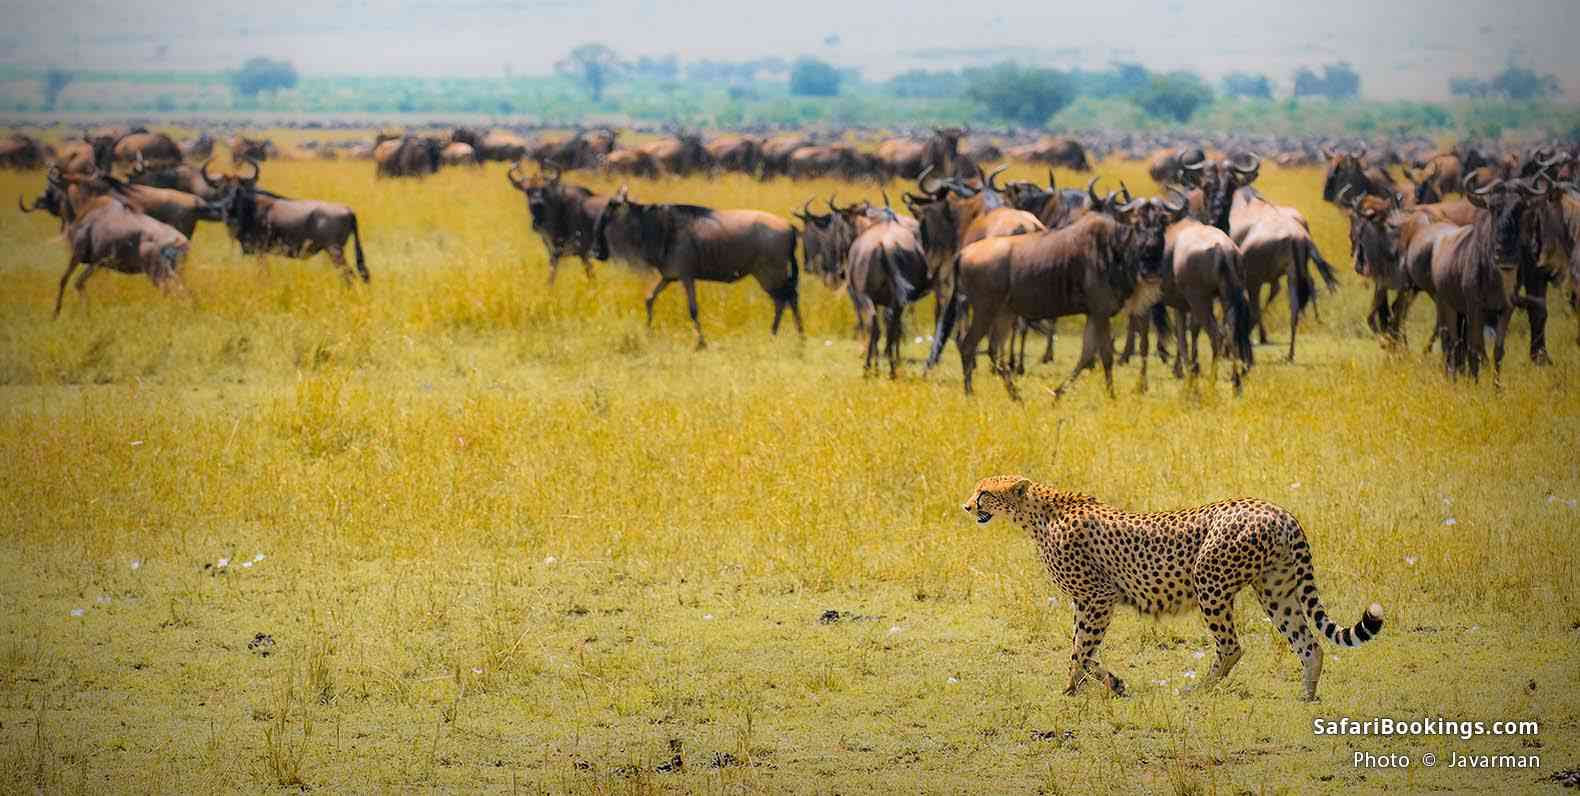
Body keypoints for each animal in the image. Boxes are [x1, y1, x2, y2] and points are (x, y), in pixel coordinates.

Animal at [963, 475, 1383, 701]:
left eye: (984, 492)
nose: (967, 506)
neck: (1039, 514)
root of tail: (1277, 510)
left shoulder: (1098, 597)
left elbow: (1081, 650)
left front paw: (1088, 687)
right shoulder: (1085, 601)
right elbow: (1080, 649)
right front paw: (1086, 687)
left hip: (1210, 582)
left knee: (1231, 647)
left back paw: (1197, 691)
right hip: (1275, 590)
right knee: (1309, 644)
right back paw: (1306, 697)